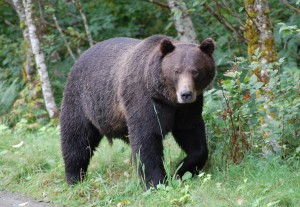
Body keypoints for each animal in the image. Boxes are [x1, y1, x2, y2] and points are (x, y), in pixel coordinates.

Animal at [60, 34, 216, 189]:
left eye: (195, 71)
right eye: (176, 71)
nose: (186, 94)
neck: (166, 98)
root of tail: (81, 56)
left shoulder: (187, 108)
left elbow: (192, 135)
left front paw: (181, 171)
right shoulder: (143, 99)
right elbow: (146, 140)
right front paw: (156, 182)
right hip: (82, 100)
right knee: (76, 137)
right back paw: (74, 178)